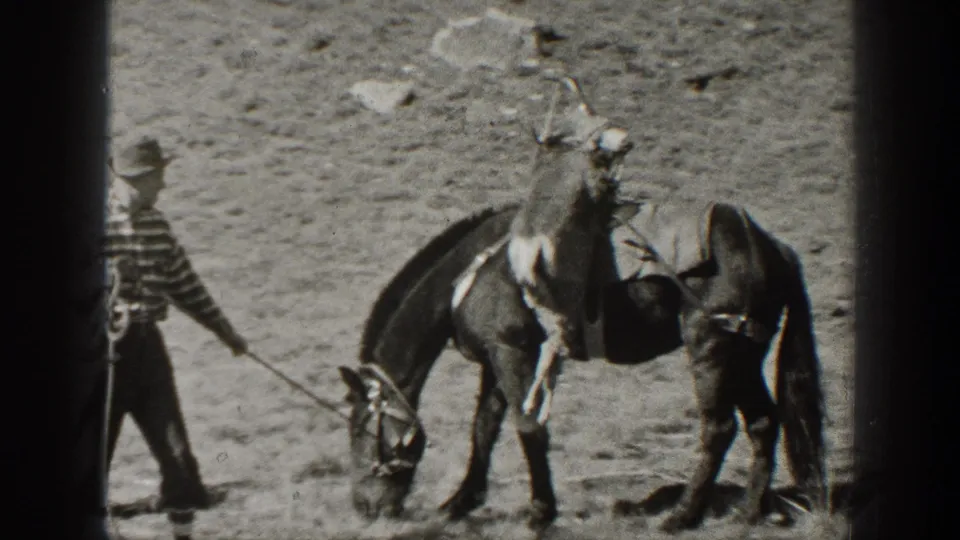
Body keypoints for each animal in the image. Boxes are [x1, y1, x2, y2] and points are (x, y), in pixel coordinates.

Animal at [337, 80, 826, 533]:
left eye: (360, 428)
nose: (365, 507)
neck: (472, 273)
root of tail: (769, 244)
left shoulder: (513, 352)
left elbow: (527, 426)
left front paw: (540, 512)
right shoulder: (496, 358)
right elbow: (484, 428)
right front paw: (460, 502)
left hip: (713, 346)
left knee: (719, 427)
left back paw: (682, 515)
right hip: (745, 350)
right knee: (763, 421)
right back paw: (749, 511)